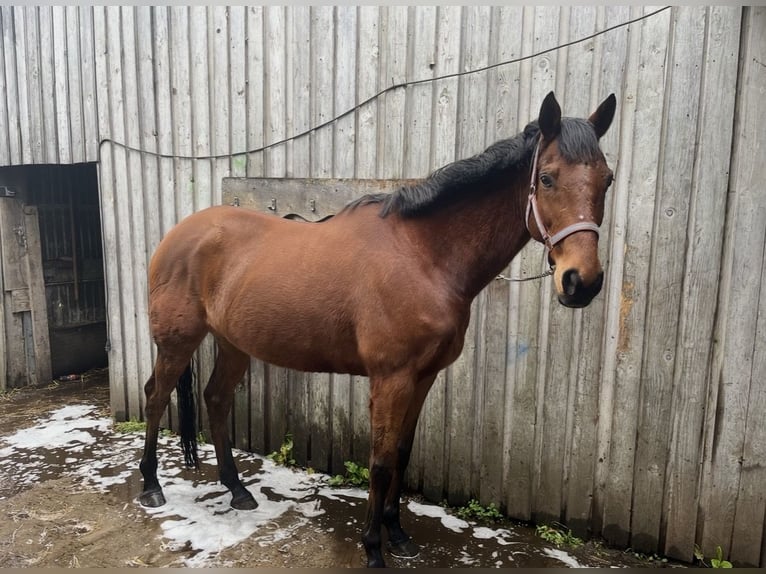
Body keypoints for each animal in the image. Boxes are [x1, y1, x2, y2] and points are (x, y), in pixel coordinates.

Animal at [138, 91, 616, 568]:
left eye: (607, 180)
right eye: (548, 179)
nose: (582, 281)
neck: (424, 257)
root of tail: (180, 233)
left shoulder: (423, 377)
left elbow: (402, 454)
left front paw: (398, 534)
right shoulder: (391, 379)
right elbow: (381, 460)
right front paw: (373, 548)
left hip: (233, 343)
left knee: (216, 399)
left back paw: (236, 490)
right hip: (177, 342)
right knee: (156, 396)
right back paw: (151, 486)